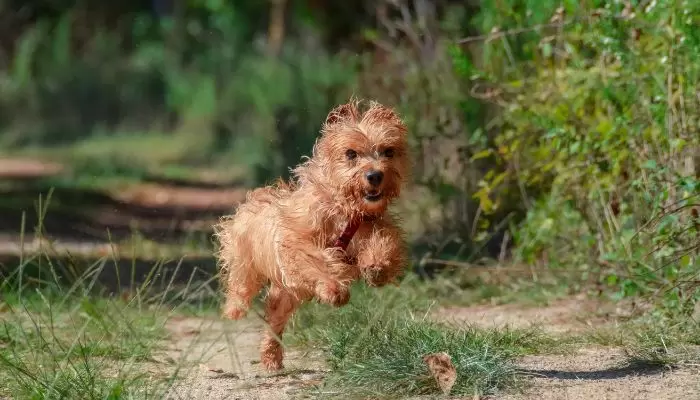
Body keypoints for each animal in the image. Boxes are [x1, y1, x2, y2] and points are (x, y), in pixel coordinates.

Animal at [213, 98, 410, 370]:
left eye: (388, 151)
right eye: (351, 153)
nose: (375, 175)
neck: (344, 210)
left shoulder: (372, 226)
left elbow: (384, 241)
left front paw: (377, 266)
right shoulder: (298, 242)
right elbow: (317, 261)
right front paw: (334, 290)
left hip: (285, 295)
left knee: (274, 321)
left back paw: (271, 356)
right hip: (245, 262)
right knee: (240, 284)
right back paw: (234, 308)